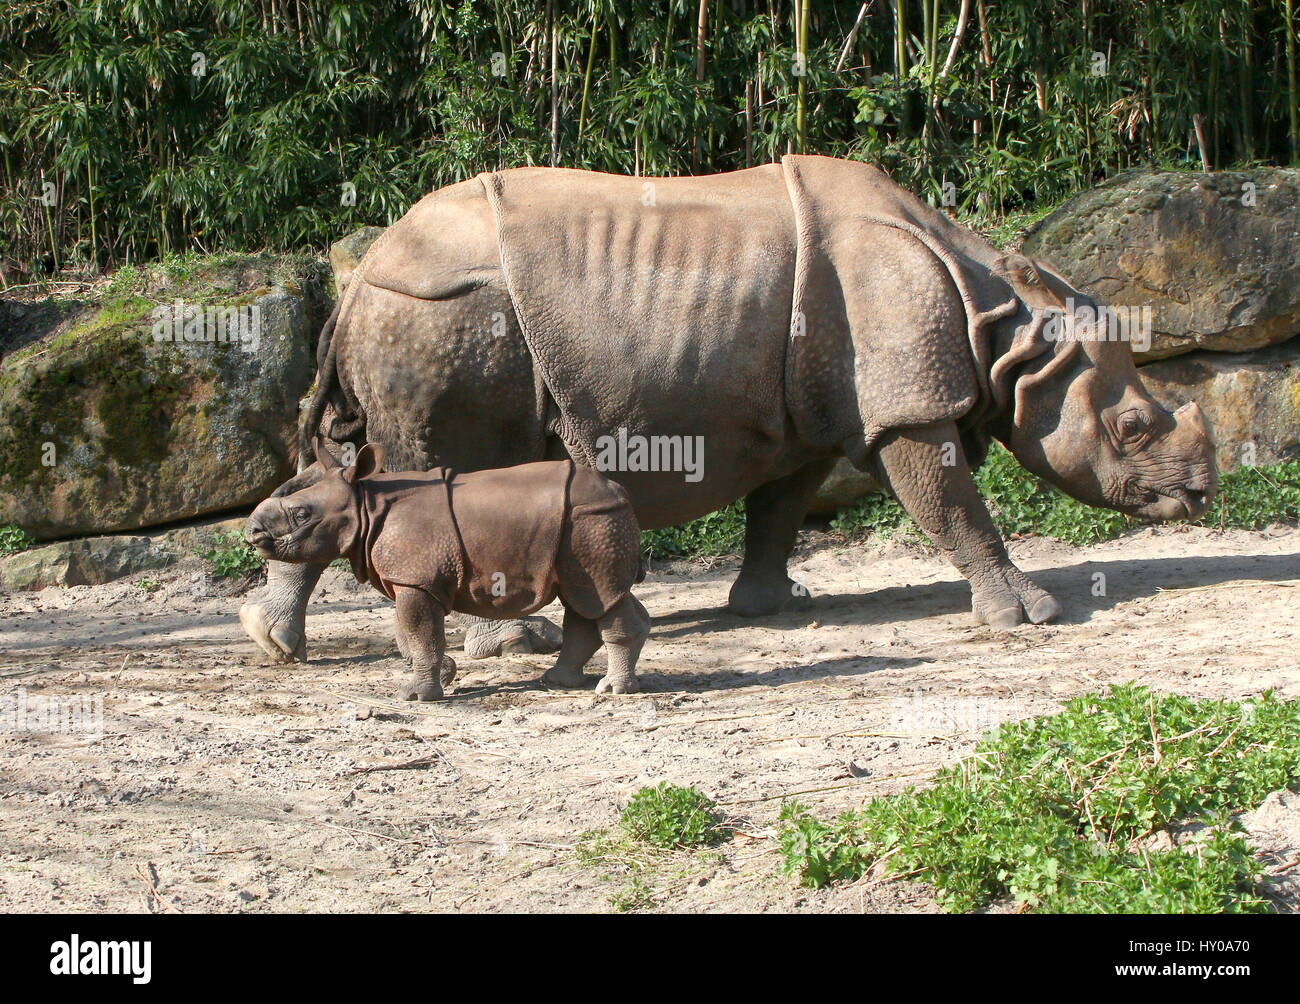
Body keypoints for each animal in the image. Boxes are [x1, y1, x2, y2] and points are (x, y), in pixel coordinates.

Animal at [241, 152, 1216, 663]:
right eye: (1134, 428)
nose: (1201, 495)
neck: (1005, 327)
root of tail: (359, 273)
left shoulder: (807, 413)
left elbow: (780, 508)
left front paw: (771, 606)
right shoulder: (905, 403)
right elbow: (950, 498)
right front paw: (1033, 616)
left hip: (411, 316)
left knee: (351, 468)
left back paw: (274, 643)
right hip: (444, 314)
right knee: (438, 462)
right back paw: (507, 646)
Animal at [244, 442, 650, 702]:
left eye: (302, 514)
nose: (253, 531)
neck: (365, 506)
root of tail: (621, 494)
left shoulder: (415, 579)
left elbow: (421, 634)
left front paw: (416, 696)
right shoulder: (408, 578)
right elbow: (411, 633)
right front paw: (442, 675)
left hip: (593, 522)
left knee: (598, 595)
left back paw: (611, 691)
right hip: (584, 525)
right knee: (585, 598)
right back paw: (558, 682)